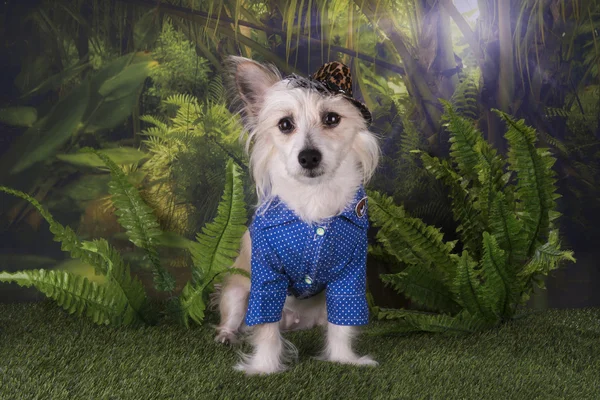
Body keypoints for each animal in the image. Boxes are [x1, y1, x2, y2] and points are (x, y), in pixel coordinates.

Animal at [214, 56, 380, 376]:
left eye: (331, 119)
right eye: (285, 124)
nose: (309, 156)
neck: (314, 196)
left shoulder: (350, 276)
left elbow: (343, 325)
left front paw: (344, 359)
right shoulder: (266, 279)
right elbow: (265, 328)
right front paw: (264, 367)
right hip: (237, 290)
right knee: (235, 317)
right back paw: (227, 336)